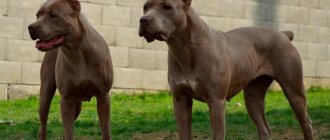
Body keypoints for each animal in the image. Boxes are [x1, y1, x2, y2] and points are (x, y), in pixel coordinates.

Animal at [27, 0, 112, 139]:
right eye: (37, 15)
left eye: (53, 15)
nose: (31, 27)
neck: (76, 52)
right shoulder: (66, 99)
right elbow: (69, 132)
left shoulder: (103, 96)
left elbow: (105, 131)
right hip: (45, 94)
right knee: (43, 127)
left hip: (77, 105)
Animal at [140, 0, 314, 140]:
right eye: (145, 7)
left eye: (167, 6)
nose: (143, 20)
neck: (184, 47)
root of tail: (283, 34)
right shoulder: (181, 102)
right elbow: (184, 134)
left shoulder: (216, 102)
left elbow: (218, 134)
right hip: (253, 96)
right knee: (264, 127)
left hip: (293, 90)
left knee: (306, 123)